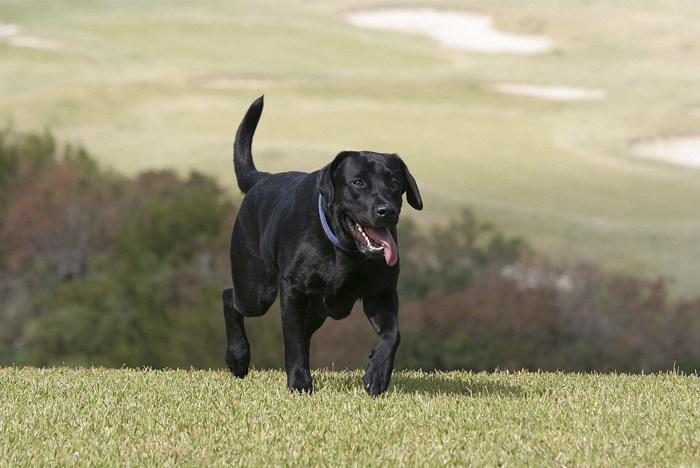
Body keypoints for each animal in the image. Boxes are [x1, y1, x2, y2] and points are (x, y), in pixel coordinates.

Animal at [224, 96, 422, 394]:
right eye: (358, 182)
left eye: (395, 182)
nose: (386, 210)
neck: (344, 251)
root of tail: (262, 178)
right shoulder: (293, 291)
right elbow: (293, 341)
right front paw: (299, 383)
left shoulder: (381, 292)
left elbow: (392, 334)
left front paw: (377, 374)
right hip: (256, 290)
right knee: (230, 299)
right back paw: (237, 357)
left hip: (314, 311)